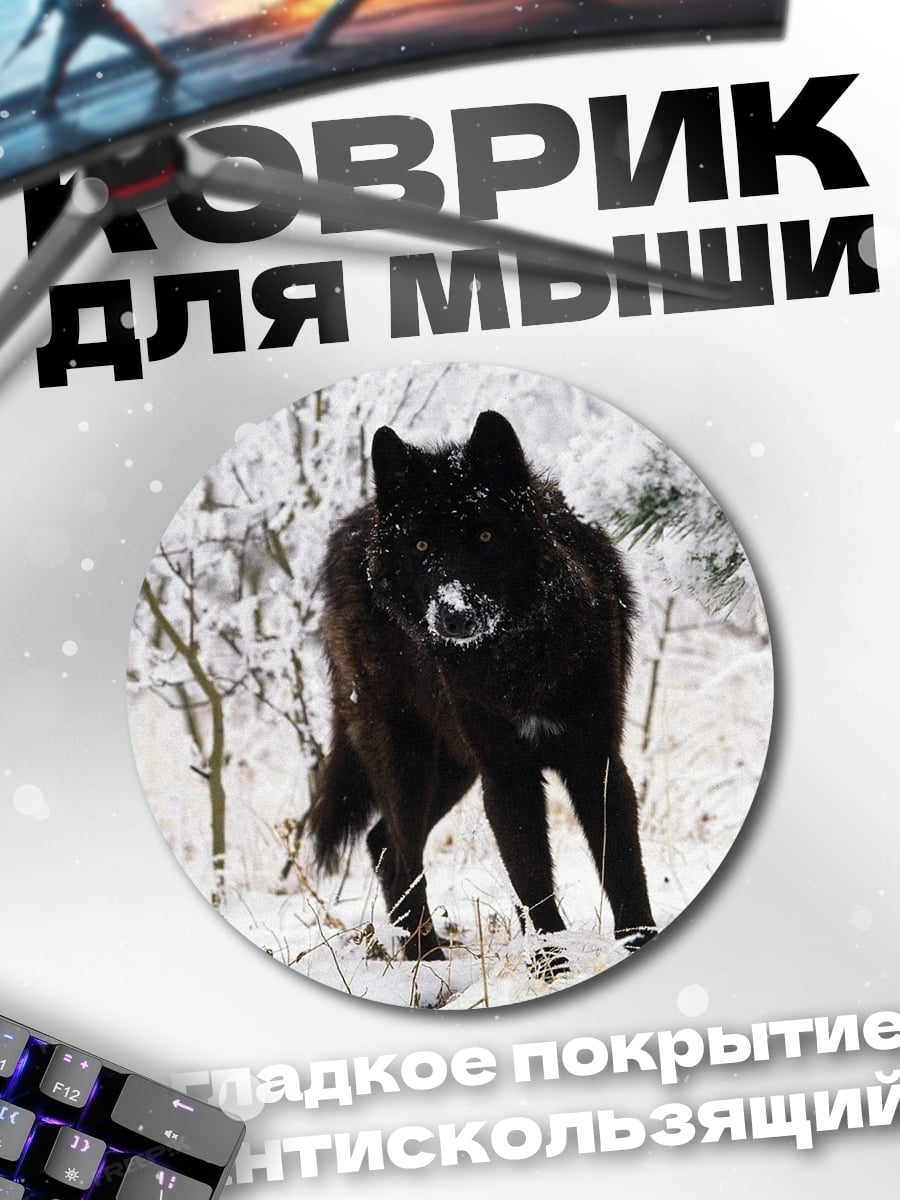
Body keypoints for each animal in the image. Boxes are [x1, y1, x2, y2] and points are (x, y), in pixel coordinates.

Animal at [308, 410, 656, 967]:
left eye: (487, 536)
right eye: (422, 546)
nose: (454, 616)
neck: (517, 660)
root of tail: (354, 526)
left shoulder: (596, 760)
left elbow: (623, 868)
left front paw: (638, 945)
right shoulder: (506, 776)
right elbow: (532, 883)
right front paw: (550, 967)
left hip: (453, 768)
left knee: (382, 843)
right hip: (408, 762)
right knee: (399, 851)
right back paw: (427, 961)